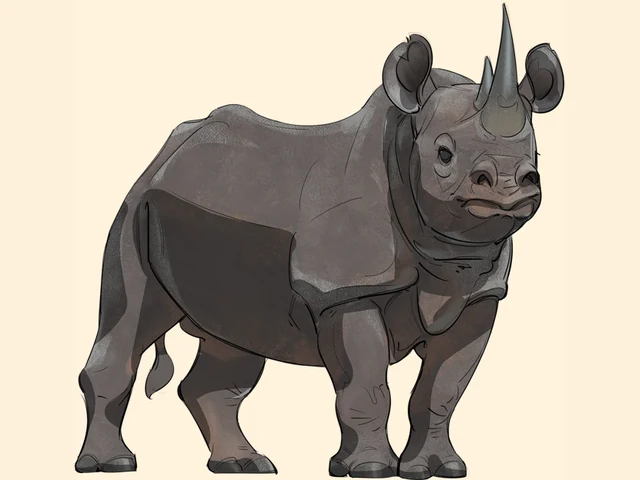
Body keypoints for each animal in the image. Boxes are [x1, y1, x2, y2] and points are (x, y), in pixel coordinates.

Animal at [75, 4, 564, 478]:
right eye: (444, 154)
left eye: (535, 159)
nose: (509, 184)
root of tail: (167, 152)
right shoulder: (343, 289)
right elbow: (367, 385)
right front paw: (368, 469)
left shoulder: (481, 295)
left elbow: (442, 390)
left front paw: (442, 468)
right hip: (135, 207)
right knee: (132, 315)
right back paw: (111, 464)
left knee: (233, 342)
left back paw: (243, 465)